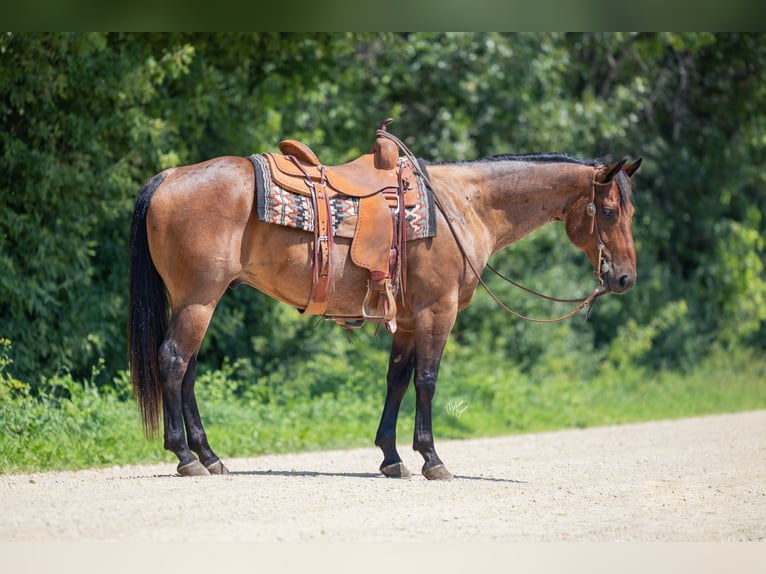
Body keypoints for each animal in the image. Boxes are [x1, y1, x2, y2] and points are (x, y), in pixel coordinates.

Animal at [128, 138, 640, 480]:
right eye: (609, 211)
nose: (624, 279)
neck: (462, 206)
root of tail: (168, 177)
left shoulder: (409, 320)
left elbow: (396, 380)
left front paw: (391, 457)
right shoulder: (438, 311)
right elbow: (427, 381)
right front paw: (432, 459)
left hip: (196, 300)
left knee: (188, 369)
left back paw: (210, 455)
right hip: (199, 299)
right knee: (173, 361)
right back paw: (186, 457)